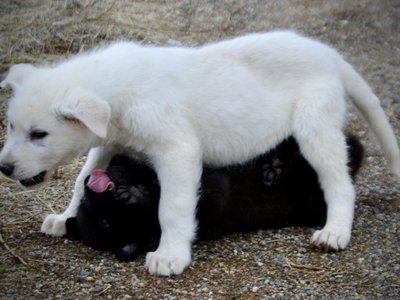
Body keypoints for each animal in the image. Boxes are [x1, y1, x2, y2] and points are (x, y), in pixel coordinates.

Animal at [67, 135, 364, 260]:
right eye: (104, 223)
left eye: (82, 202)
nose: (88, 186)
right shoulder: (213, 195)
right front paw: (134, 194)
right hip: (311, 200)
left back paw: (273, 164)